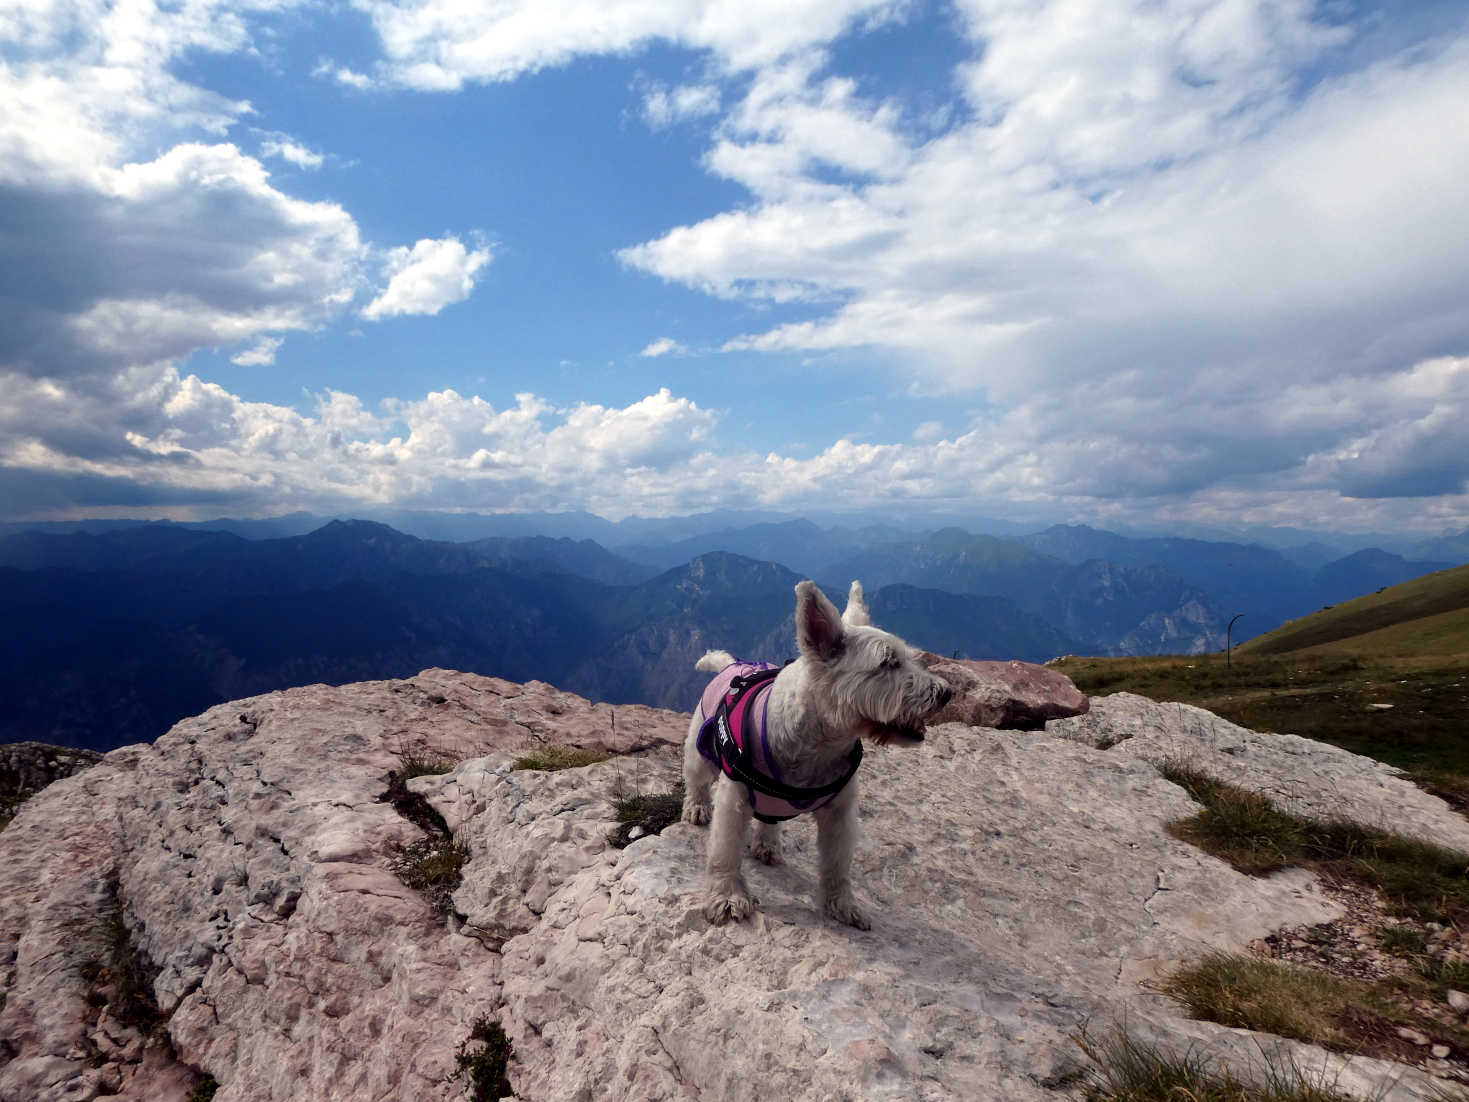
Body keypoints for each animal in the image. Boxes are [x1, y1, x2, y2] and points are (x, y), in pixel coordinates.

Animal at [678, 581, 951, 928]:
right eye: (888, 663)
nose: (946, 693)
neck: (821, 741)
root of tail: (730, 664)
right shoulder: (734, 799)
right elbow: (724, 850)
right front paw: (728, 896)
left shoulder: (840, 813)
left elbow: (837, 863)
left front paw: (843, 904)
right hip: (699, 751)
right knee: (697, 780)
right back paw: (698, 808)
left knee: (770, 816)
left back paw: (768, 843)